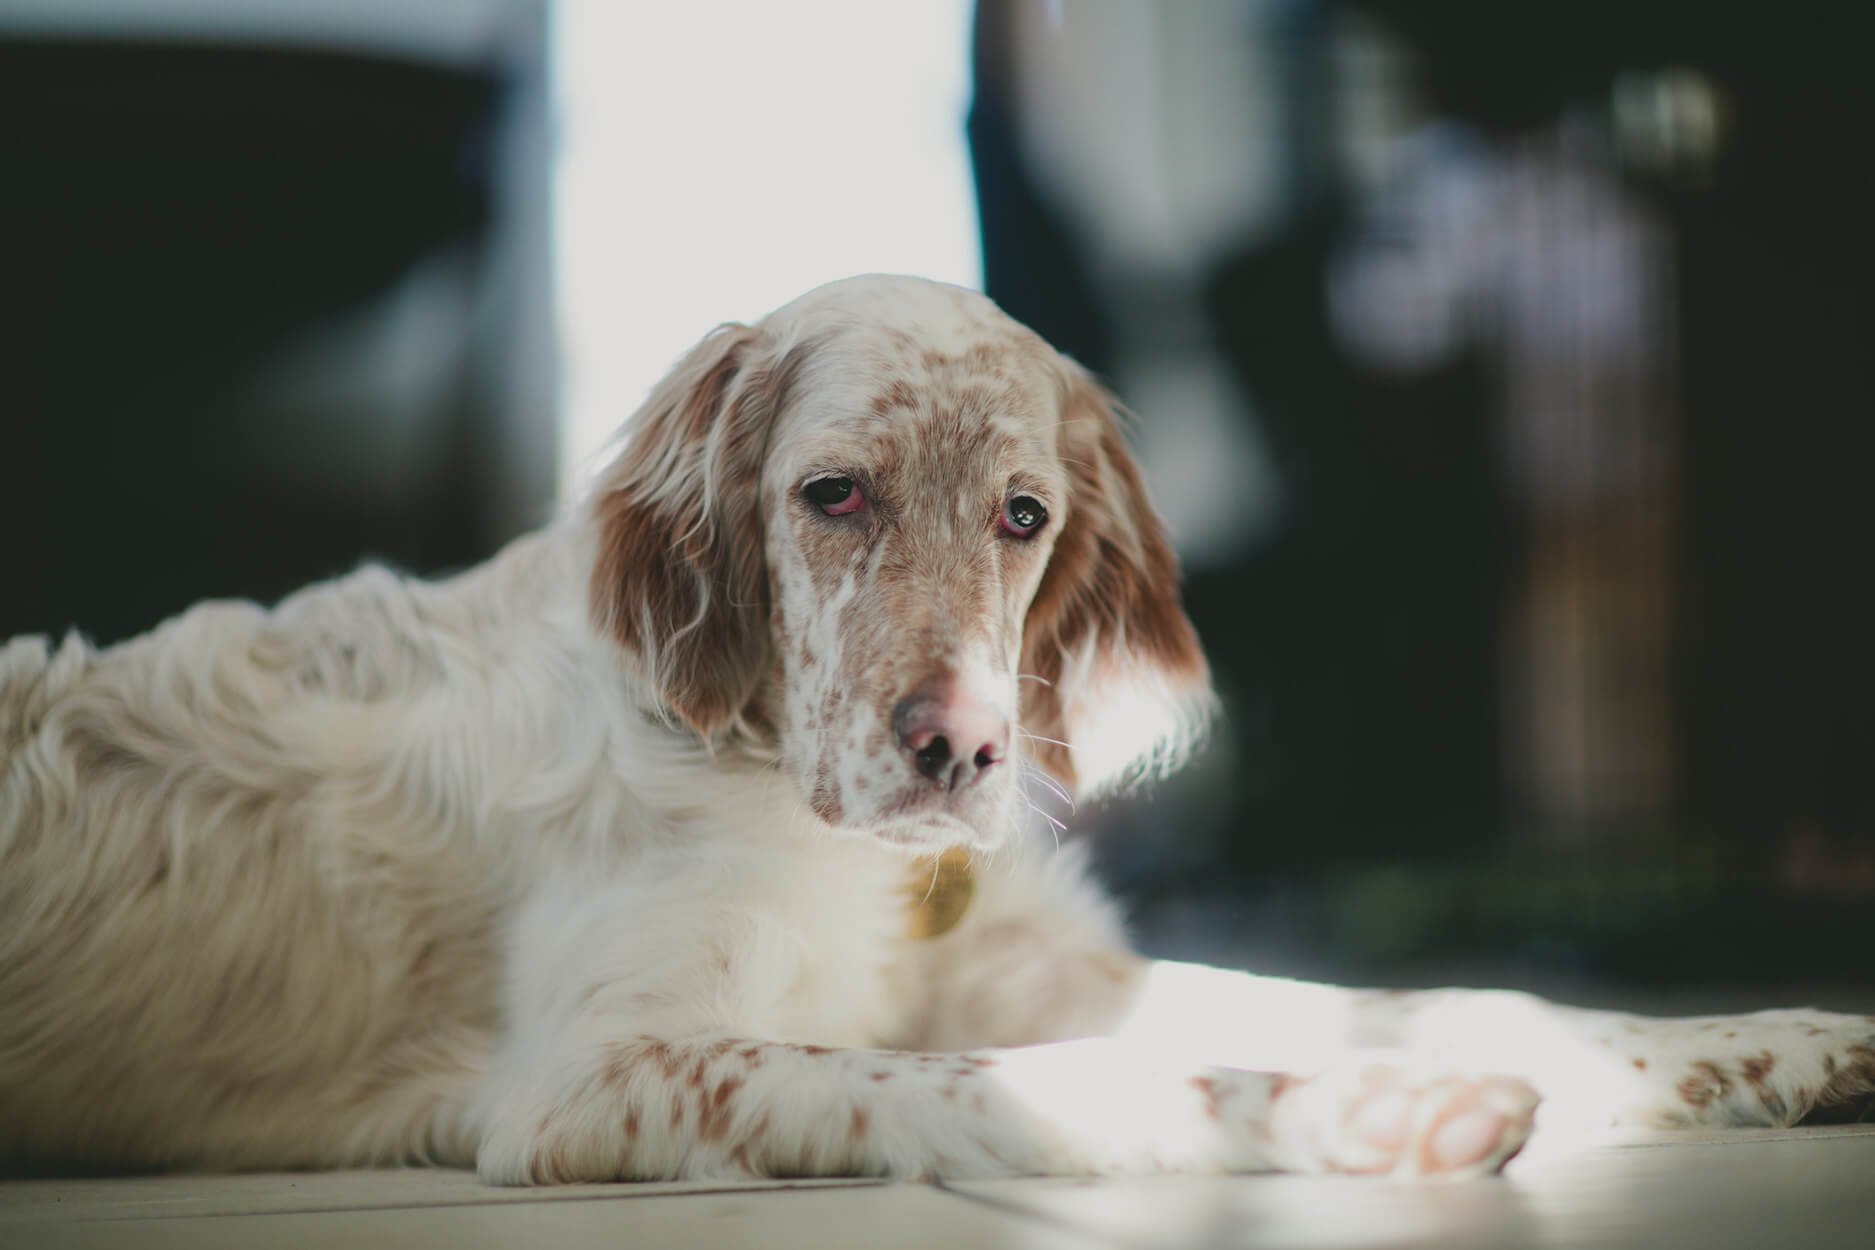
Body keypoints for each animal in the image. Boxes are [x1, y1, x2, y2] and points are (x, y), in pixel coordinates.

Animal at [3, 275, 1875, 1184]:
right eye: (830, 494)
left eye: (1024, 517)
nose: (960, 748)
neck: (786, 797)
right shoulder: (596, 1069)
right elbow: (1015, 1084)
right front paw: (1366, 1118)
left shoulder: (1036, 963)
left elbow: (1448, 999)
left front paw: (1775, 1042)